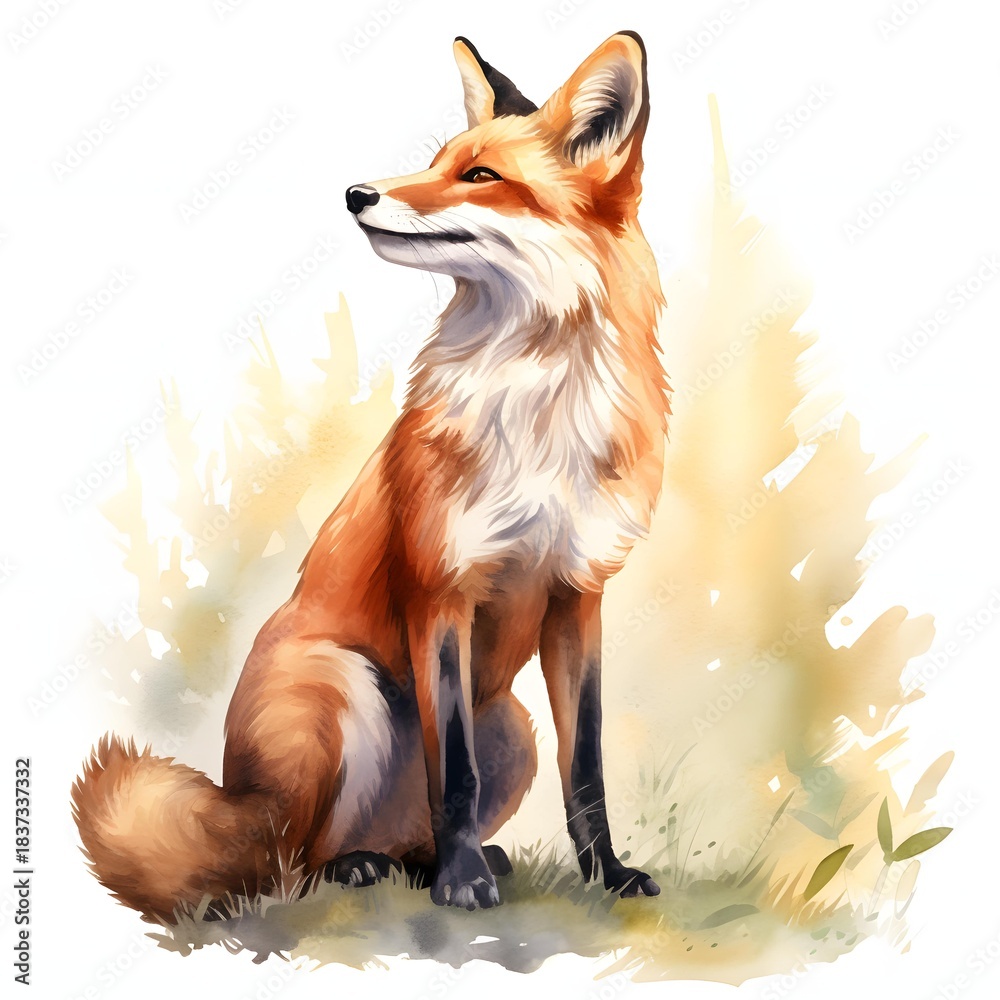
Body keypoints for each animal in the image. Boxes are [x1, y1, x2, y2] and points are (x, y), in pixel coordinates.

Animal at [73, 30, 669, 919]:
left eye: (480, 176)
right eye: (435, 161)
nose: (356, 192)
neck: (538, 405)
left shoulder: (578, 596)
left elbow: (586, 770)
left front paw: (606, 874)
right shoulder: (438, 590)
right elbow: (452, 773)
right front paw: (463, 885)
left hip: (512, 726)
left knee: (397, 835)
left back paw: (431, 862)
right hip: (339, 689)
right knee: (284, 864)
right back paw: (370, 867)